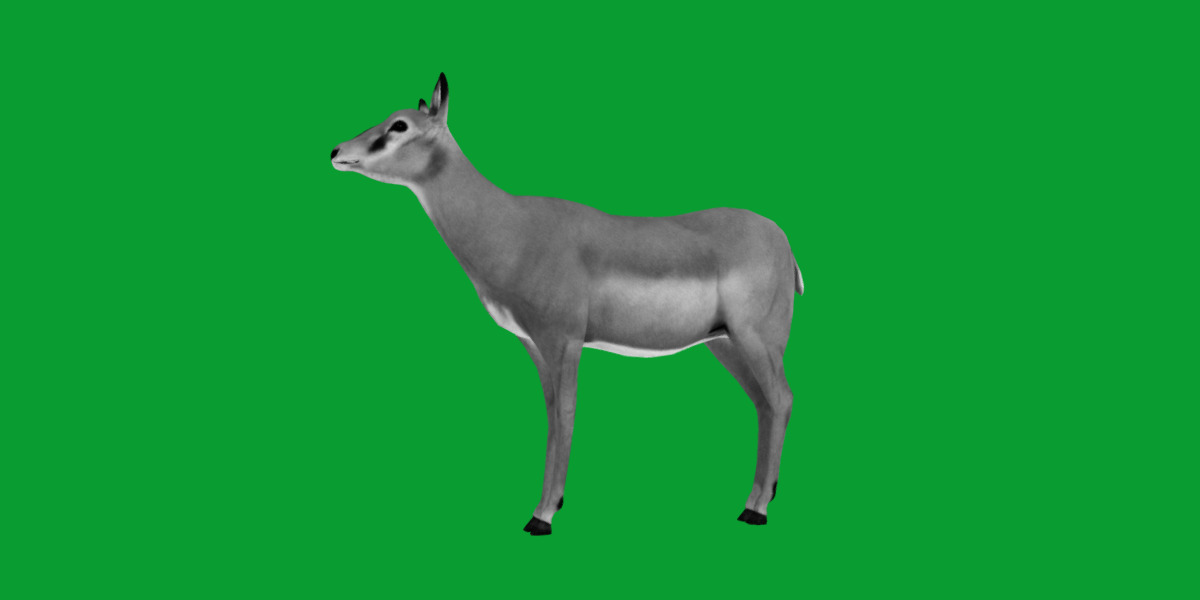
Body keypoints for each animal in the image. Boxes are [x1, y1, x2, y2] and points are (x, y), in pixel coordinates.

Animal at [332, 74, 805, 536]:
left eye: (399, 124)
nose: (337, 151)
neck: (512, 229)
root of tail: (783, 240)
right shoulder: (535, 344)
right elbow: (551, 415)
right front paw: (544, 508)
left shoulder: (564, 341)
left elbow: (567, 411)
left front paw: (542, 516)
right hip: (724, 343)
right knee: (764, 404)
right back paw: (751, 503)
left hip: (755, 339)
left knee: (782, 398)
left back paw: (758, 511)